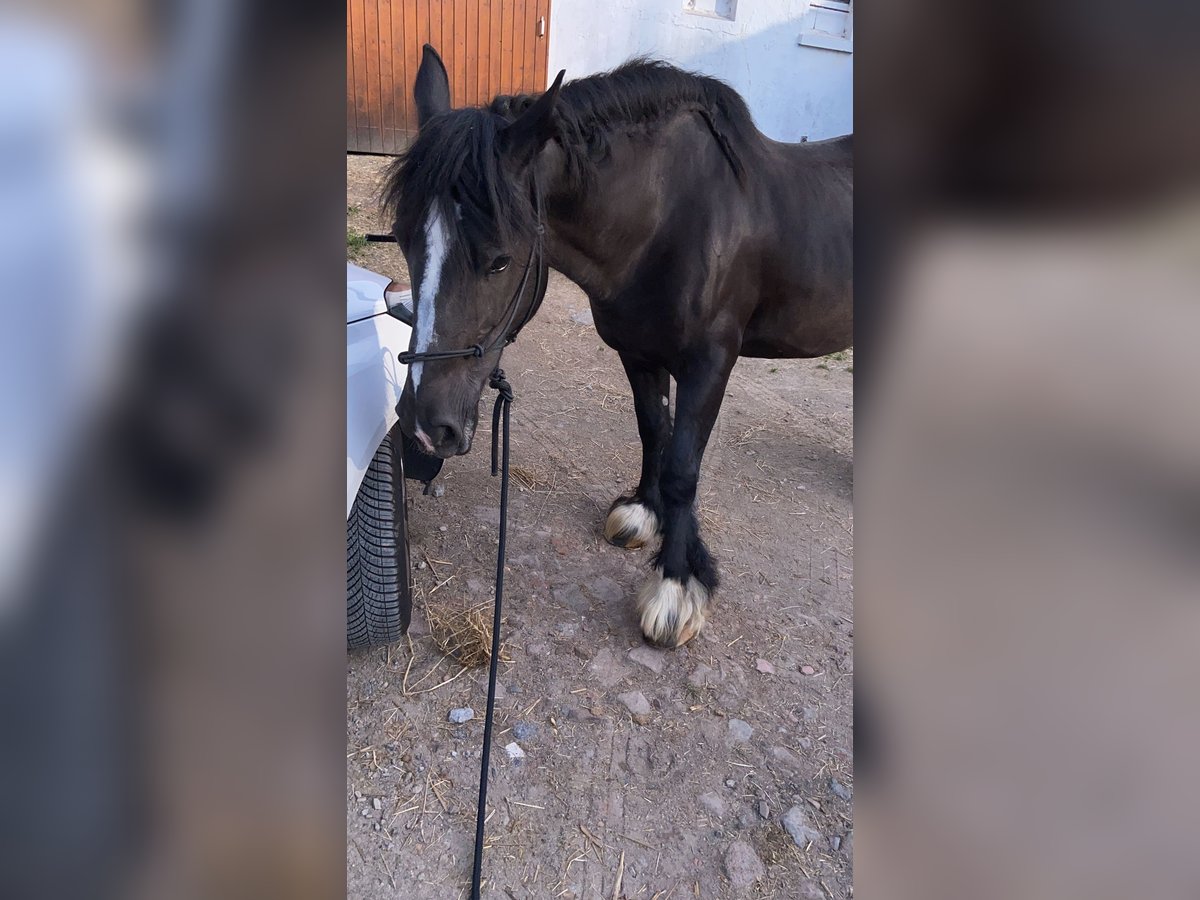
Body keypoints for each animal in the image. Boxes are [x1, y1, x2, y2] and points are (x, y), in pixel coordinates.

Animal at [386, 47, 854, 648]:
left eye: (500, 260)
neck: (671, 219)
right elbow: (654, 430)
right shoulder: (639, 353)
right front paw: (644, 514)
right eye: (404, 240)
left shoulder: (709, 364)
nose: (424, 427)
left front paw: (677, 585)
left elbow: (682, 467)